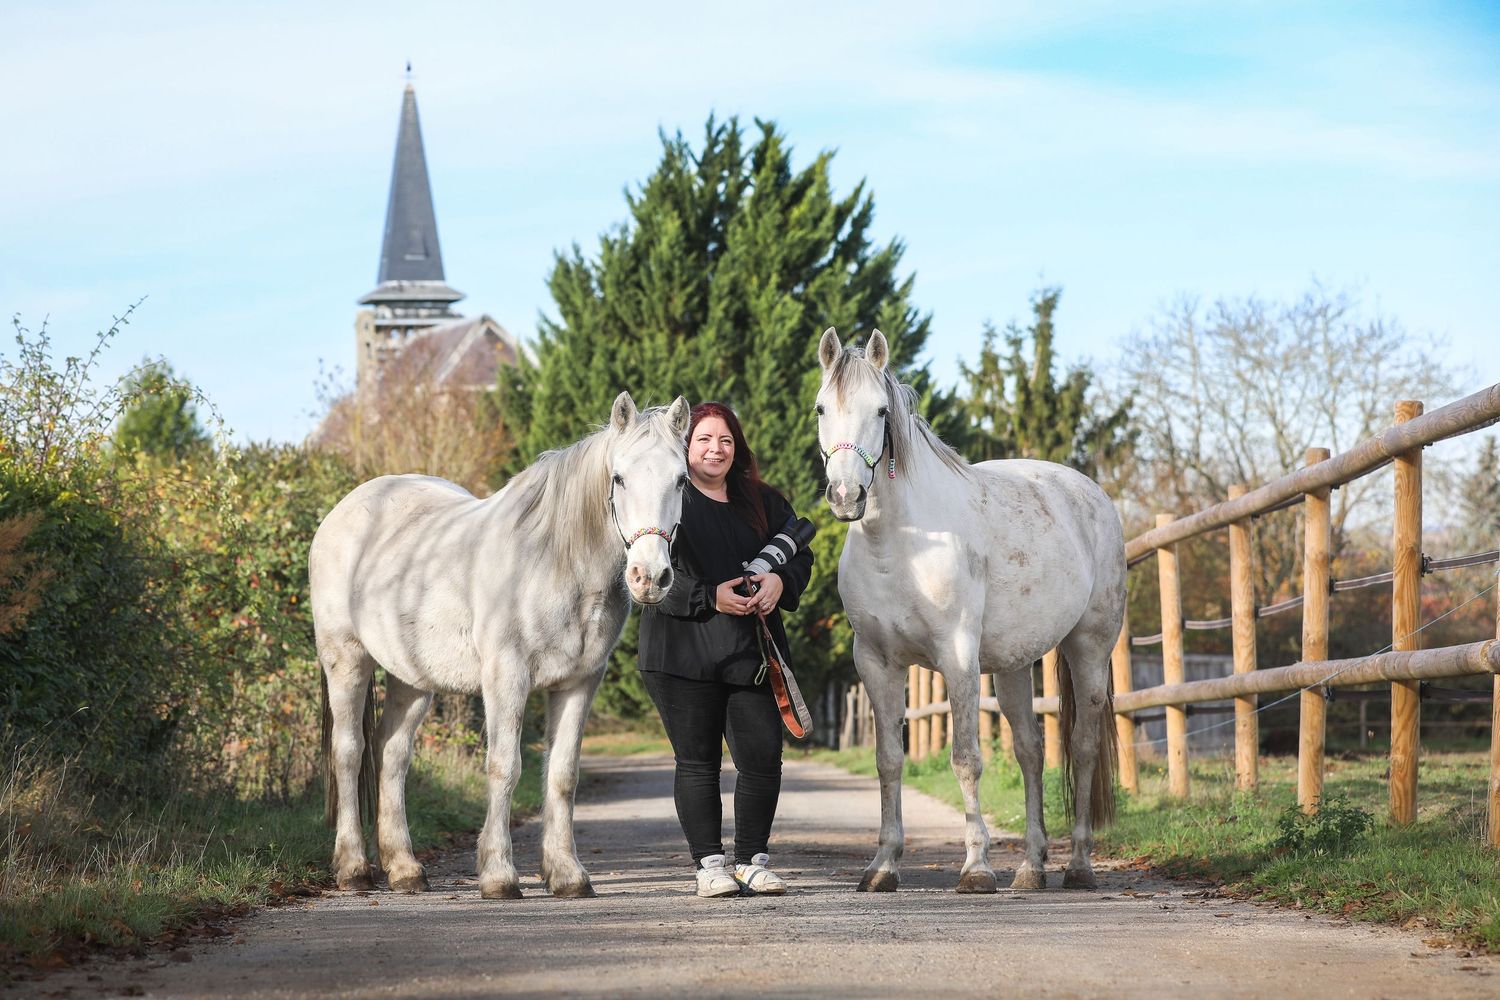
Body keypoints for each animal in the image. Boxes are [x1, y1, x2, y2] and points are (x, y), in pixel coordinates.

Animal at [310, 392, 690, 900]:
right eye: (619, 478)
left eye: (681, 479)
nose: (650, 577)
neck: (554, 561)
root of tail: (343, 511)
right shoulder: (506, 676)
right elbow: (504, 766)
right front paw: (498, 875)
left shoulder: (579, 683)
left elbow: (563, 774)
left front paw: (567, 874)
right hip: (347, 661)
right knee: (350, 753)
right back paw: (353, 868)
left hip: (411, 679)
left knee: (392, 755)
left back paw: (405, 869)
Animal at [815, 328, 1123, 892]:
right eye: (822, 408)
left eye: (880, 411)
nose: (846, 495)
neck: (901, 546)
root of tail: (1092, 495)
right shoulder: (875, 664)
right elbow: (888, 760)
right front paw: (883, 865)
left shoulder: (957, 658)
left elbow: (965, 759)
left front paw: (976, 867)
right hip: (1014, 666)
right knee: (1031, 750)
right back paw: (1030, 867)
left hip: (1088, 650)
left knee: (1083, 746)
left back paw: (1078, 865)